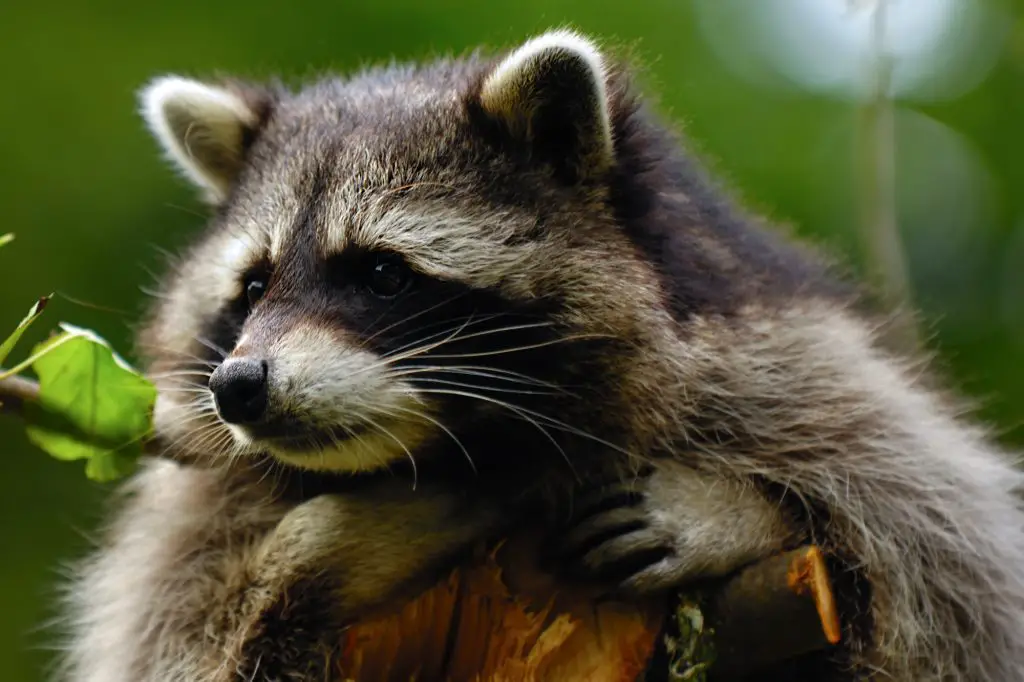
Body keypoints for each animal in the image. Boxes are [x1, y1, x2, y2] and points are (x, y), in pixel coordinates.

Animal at [58, 29, 1024, 675]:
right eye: (254, 286)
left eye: (381, 273)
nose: (240, 387)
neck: (464, 440)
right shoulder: (198, 513)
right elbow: (184, 632)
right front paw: (333, 545)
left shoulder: (788, 353)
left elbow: (949, 567)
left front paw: (739, 511)